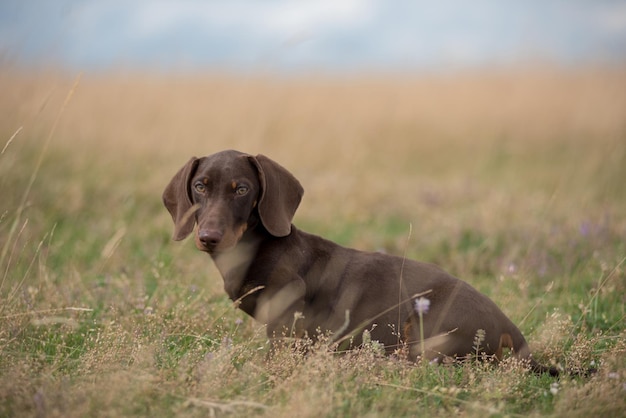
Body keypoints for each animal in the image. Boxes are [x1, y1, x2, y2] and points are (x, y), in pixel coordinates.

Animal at [161, 150, 556, 376]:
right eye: (200, 186)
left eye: (242, 189)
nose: (208, 237)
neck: (255, 248)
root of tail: (513, 331)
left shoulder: (287, 327)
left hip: (428, 326)